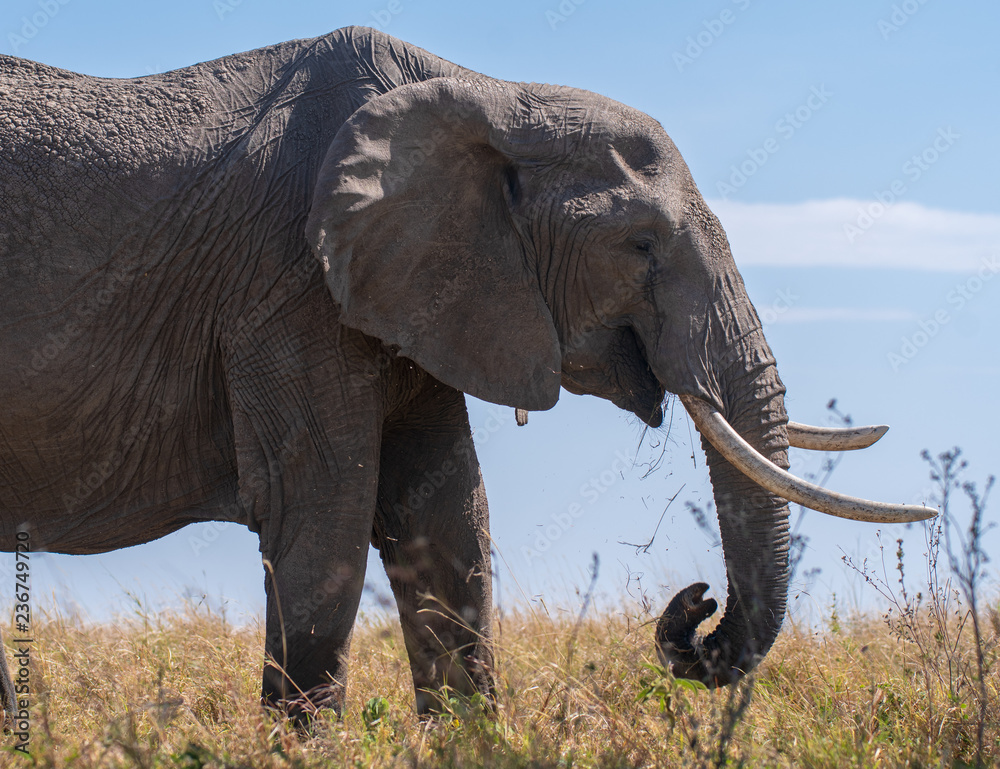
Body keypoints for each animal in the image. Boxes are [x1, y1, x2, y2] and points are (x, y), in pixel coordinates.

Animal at [1, 24, 936, 720]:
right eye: (640, 245)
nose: (696, 605)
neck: (491, 95)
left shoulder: (423, 289)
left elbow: (450, 525)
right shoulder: (286, 287)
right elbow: (325, 519)